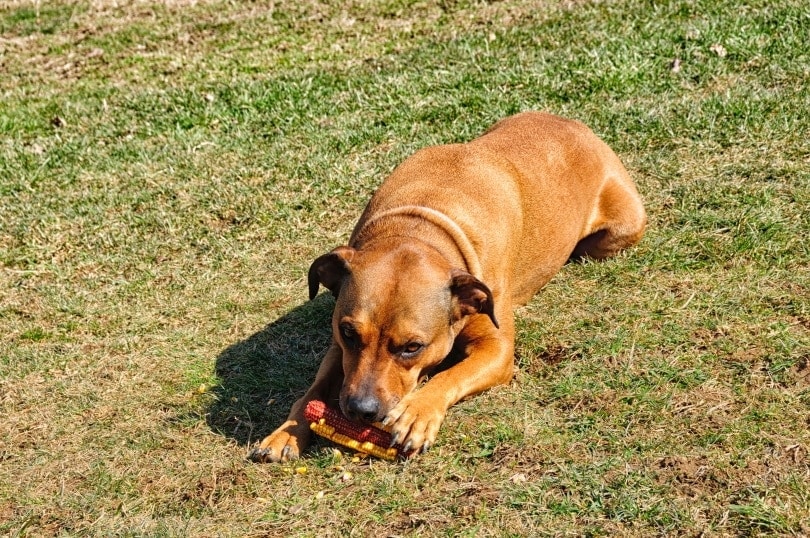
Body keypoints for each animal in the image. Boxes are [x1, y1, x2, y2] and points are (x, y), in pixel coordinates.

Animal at [248, 110, 644, 460]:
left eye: (412, 347)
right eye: (348, 333)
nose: (361, 410)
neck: (421, 224)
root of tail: (578, 127)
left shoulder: (497, 350)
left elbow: (451, 375)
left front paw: (416, 414)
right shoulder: (339, 347)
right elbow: (315, 387)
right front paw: (286, 432)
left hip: (622, 228)